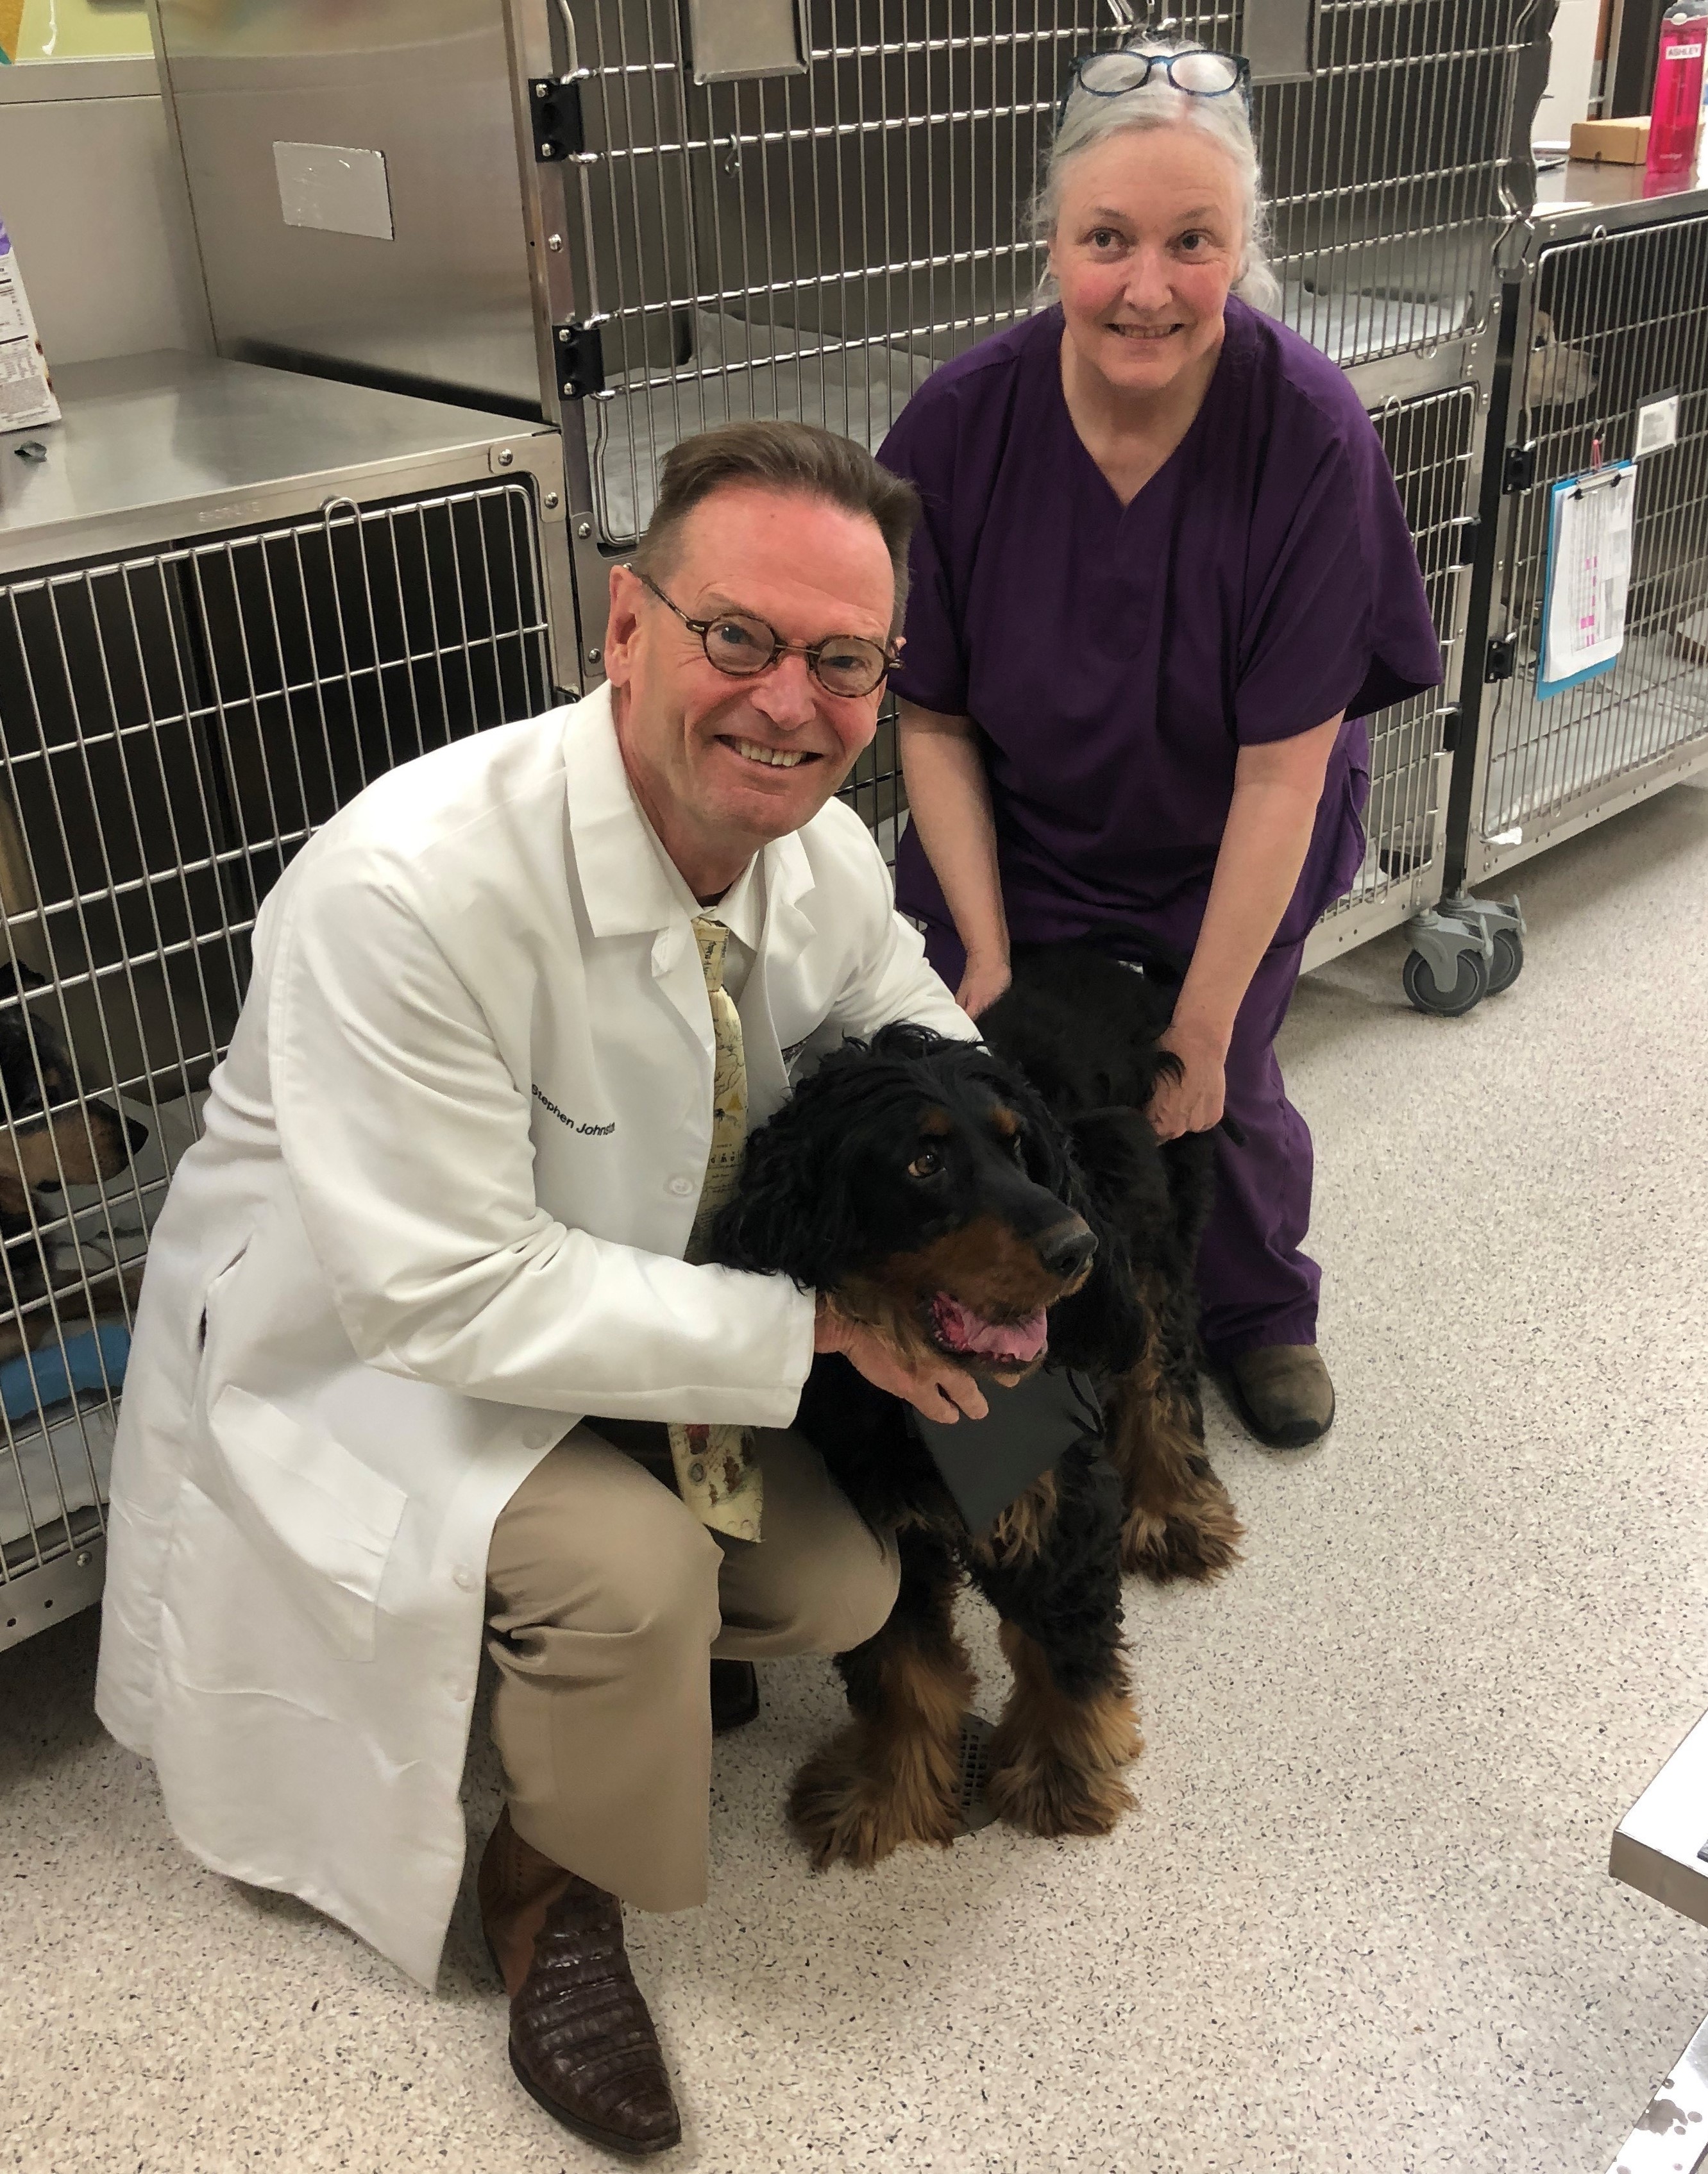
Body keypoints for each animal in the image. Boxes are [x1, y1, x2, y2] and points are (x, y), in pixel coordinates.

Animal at [704, 943, 1234, 1878]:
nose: (1074, 1248)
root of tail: (1118, 962)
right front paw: (884, 1793)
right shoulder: (886, 1525)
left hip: (1154, 1235)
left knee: (1161, 1376)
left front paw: (1063, 1771)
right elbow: (901, 1671)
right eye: (922, 1163)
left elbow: (1060, 1642)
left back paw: (1174, 1511)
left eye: (1019, 1145)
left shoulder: (1054, 1490)